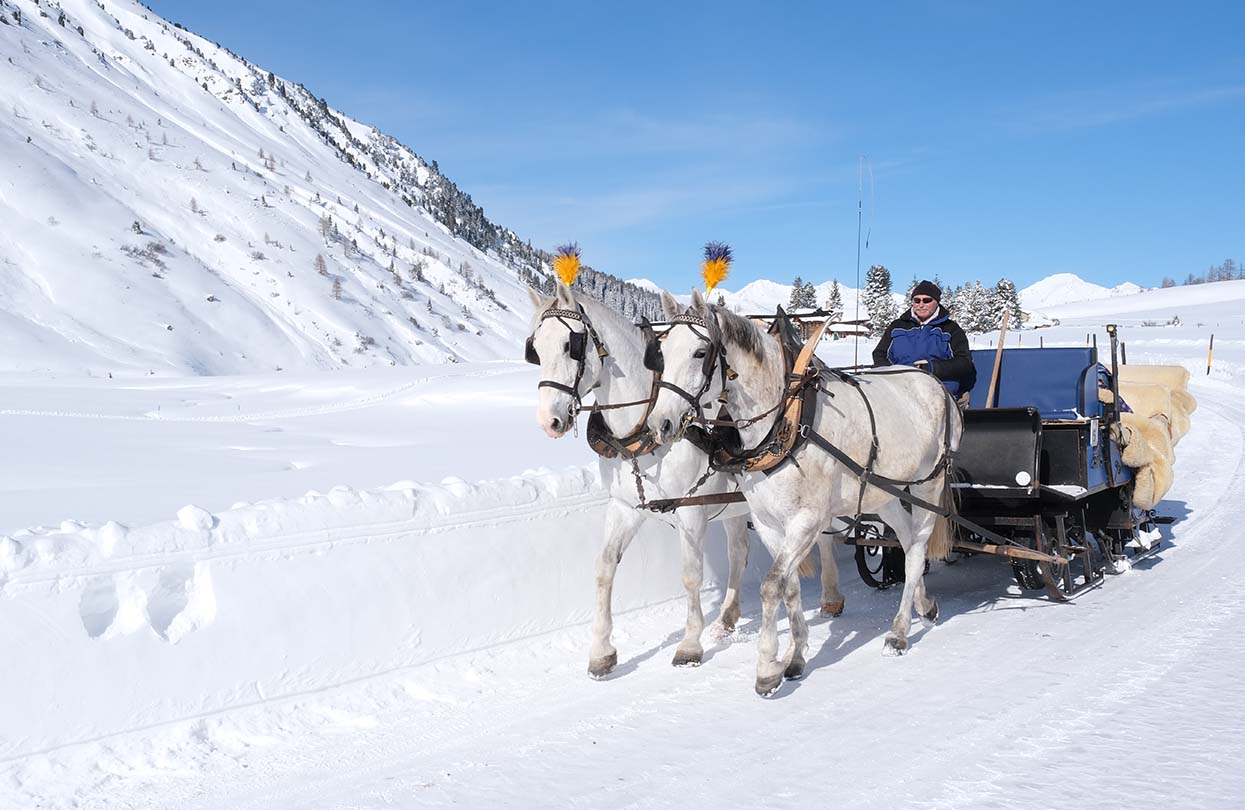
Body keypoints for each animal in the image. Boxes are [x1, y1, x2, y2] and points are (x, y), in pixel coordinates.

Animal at [525, 284, 846, 676]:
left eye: (570, 345)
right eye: (536, 349)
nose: (549, 421)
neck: (643, 428)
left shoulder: (690, 511)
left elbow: (691, 574)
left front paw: (690, 645)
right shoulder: (624, 507)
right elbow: (604, 567)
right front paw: (601, 650)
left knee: (824, 537)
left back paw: (831, 596)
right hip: (739, 506)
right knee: (739, 550)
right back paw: (726, 618)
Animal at [647, 291, 956, 696]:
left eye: (700, 353)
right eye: (662, 352)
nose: (660, 424)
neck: (786, 419)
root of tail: (932, 381)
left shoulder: (807, 520)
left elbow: (771, 586)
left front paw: (766, 667)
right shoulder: (767, 521)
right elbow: (789, 586)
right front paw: (794, 656)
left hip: (927, 485)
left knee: (918, 549)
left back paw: (899, 632)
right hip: (884, 492)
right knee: (905, 543)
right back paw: (925, 605)